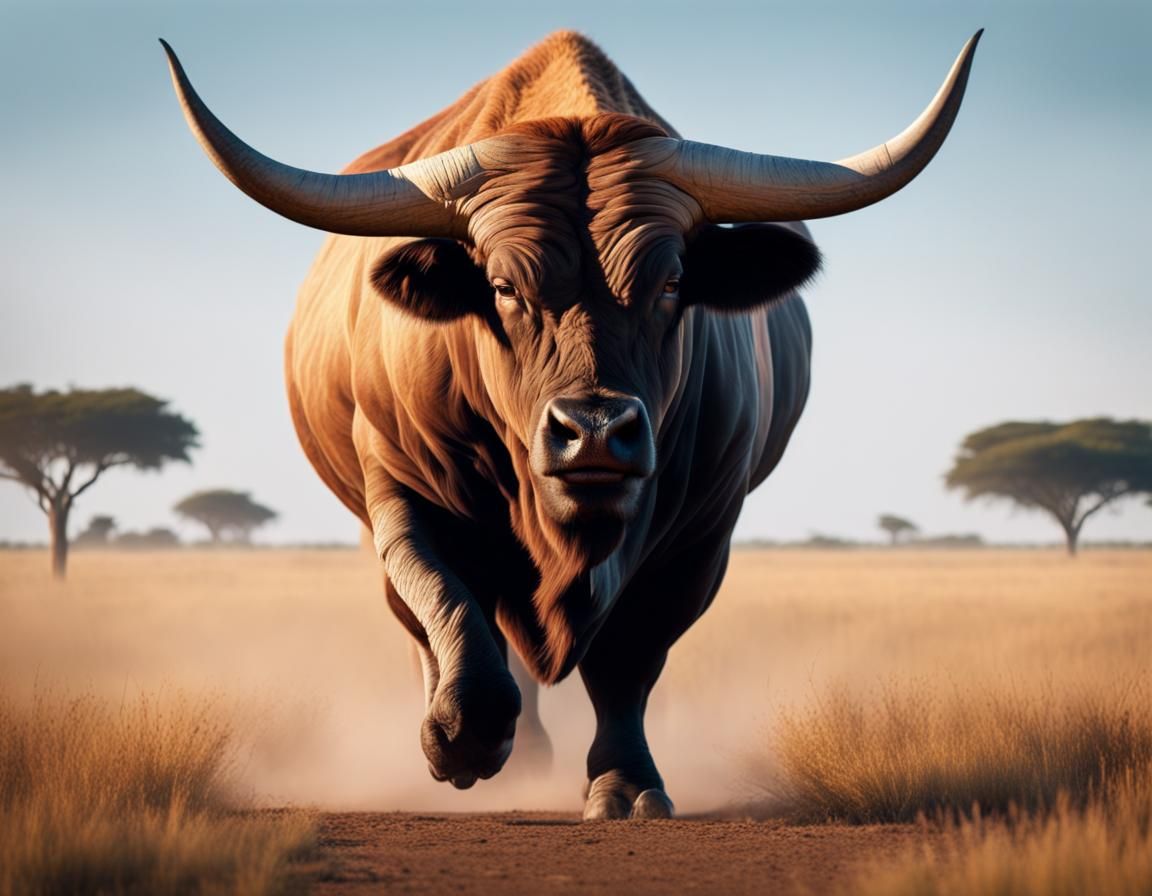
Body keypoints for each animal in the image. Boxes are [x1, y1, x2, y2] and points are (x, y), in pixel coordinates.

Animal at [163, 29, 980, 819]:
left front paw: (626, 783)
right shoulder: (400, 493)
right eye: (502, 287)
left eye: (671, 282)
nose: (594, 431)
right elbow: (445, 601)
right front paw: (461, 737)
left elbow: (628, 658)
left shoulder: (700, 535)